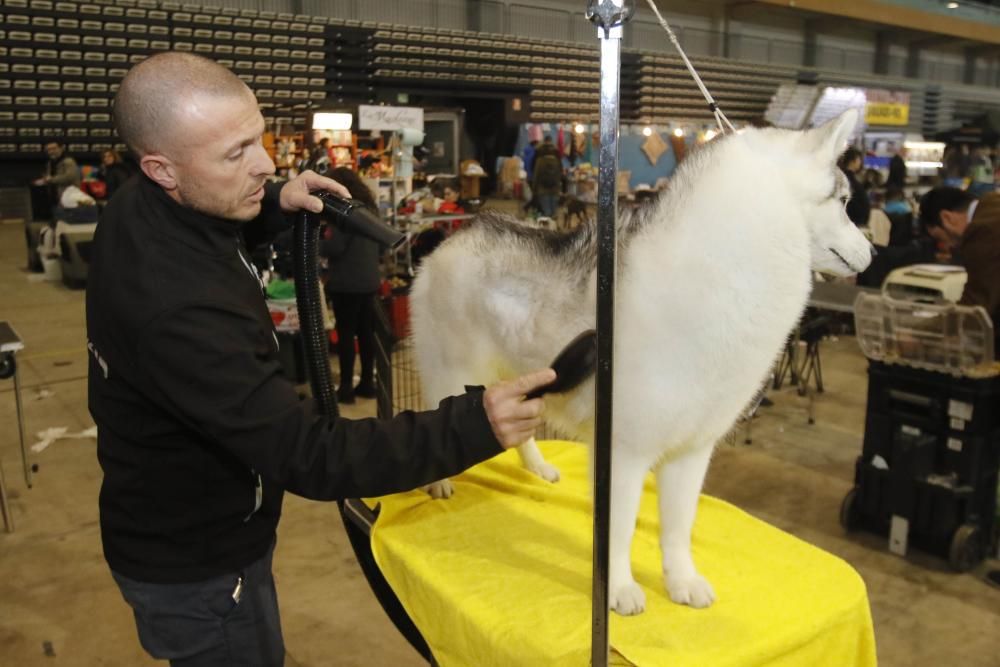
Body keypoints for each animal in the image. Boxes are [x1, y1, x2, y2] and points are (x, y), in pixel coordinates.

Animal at [410, 109, 872, 616]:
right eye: (845, 202)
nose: (873, 254)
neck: (728, 270)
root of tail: (450, 239)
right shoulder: (622, 454)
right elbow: (618, 533)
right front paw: (617, 590)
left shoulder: (692, 452)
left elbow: (678, 528)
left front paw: (681, 581)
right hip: (453, 377)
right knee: (439, 414)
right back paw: (439, 483)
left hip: (523, 383)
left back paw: (538, 468)